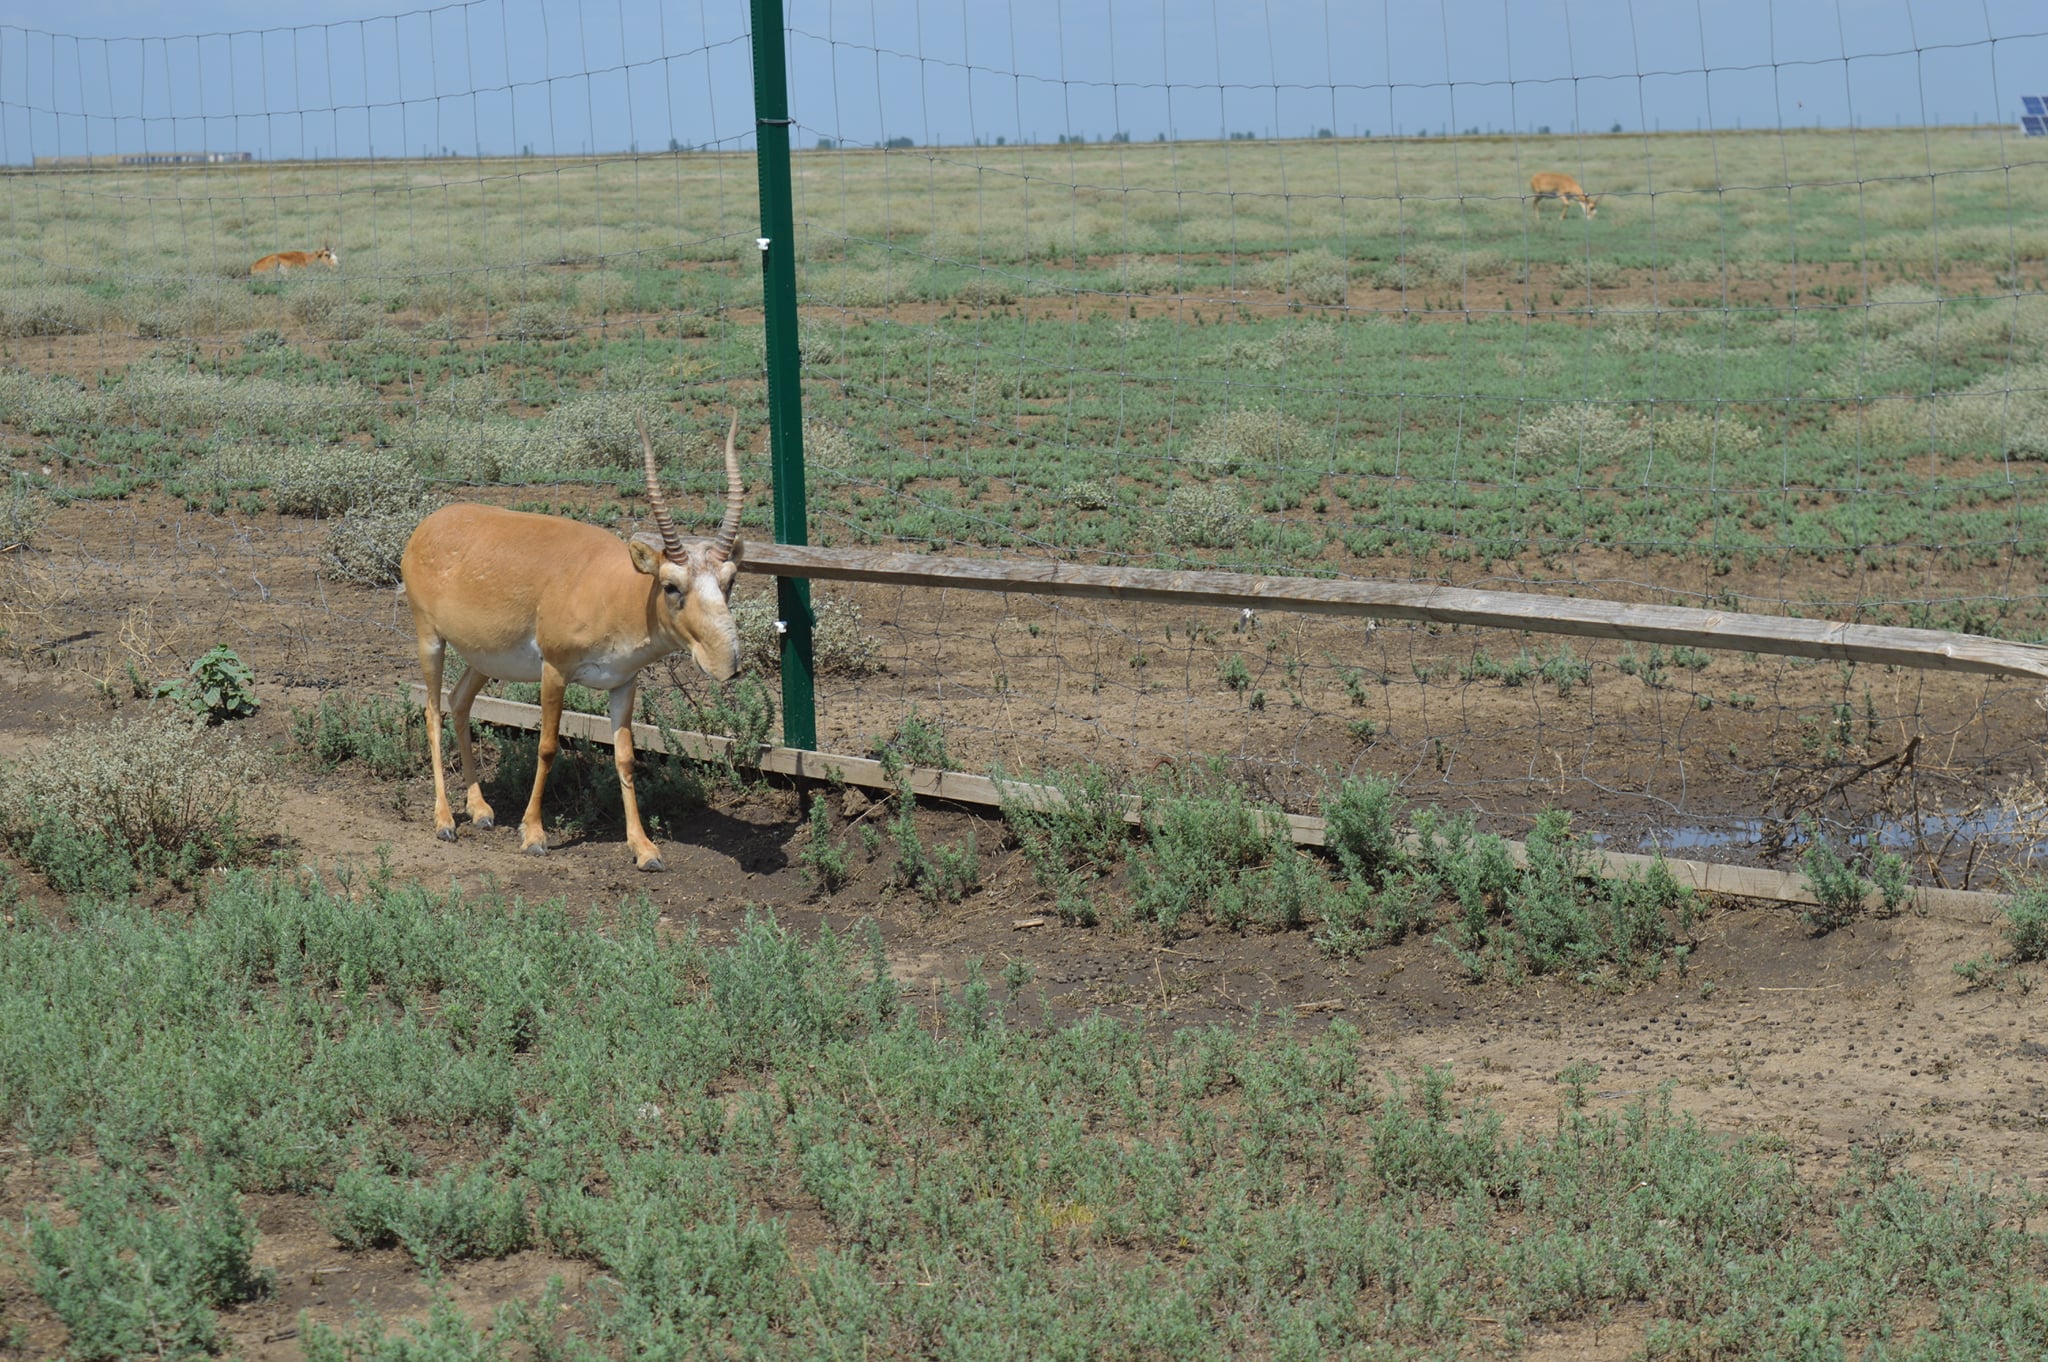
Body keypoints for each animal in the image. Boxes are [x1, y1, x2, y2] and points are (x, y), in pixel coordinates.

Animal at [397, 409, 745, 872]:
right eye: (671, 585)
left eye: (730, 580)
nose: (727, 663)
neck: (612, 588)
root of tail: (429, 526)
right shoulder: (555, 671)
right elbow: (547, 747)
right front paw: (533, 835)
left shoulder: (623, 682)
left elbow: (625, 756)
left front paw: (644, 849)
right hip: (430, 640)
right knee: (433, 711)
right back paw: (445, 821)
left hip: (483, 660)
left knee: (459, 702)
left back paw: (481, 810)